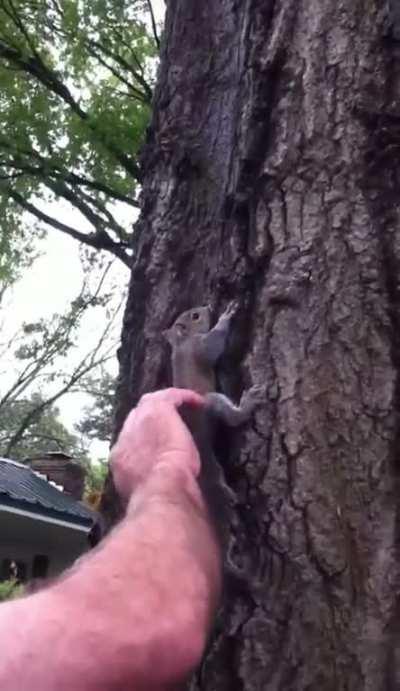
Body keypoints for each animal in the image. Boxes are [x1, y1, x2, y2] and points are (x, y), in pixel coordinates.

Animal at [163, 302, 261, 554]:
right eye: (195, 316)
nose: (207, 306)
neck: (183, 341)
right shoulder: (200, 347)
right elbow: (214, 345)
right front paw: (226, 316)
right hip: (212, 402)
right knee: (232, 417)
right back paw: (247, 404)